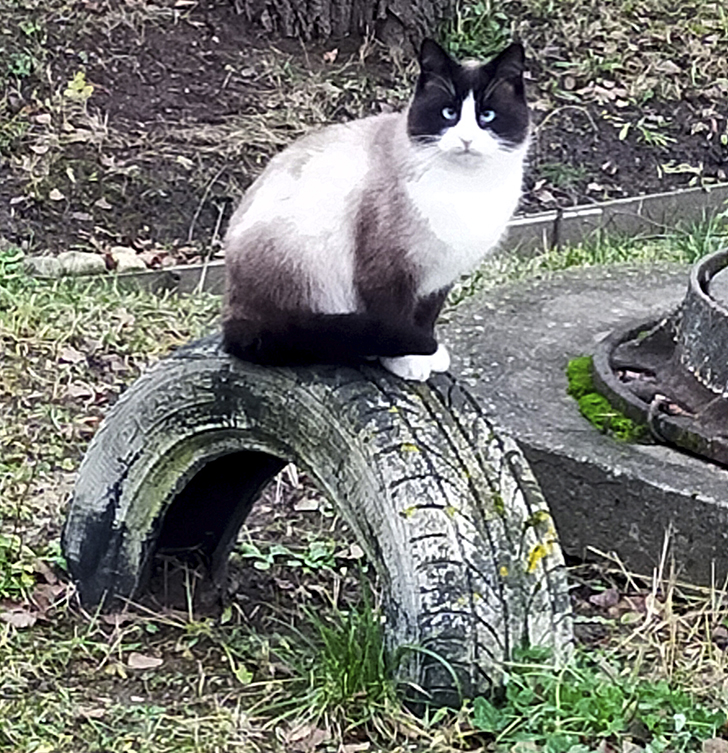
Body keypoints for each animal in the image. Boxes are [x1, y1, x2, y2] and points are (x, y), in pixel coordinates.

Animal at [222, 38, 529, 381]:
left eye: (487, 116)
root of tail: (233, 315)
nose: (465, 140)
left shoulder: (441, 274)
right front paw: (408, 360)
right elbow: (396, 317)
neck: (467, 189)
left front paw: (430, 353)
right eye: (448, 113)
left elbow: (426, 317)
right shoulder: (389, 269)